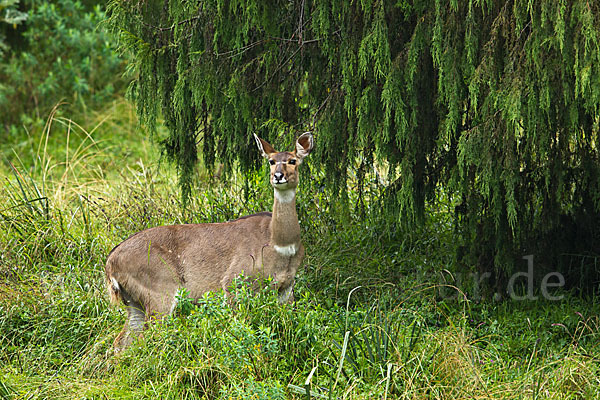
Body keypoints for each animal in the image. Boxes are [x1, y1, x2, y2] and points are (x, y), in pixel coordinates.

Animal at [103, 133, 314, 348]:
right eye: (271, 161)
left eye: (293, 160)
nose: (278, 176)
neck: (280, 245)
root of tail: (110, 263)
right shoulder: (234, 283)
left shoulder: (286, 288)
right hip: (160, 294)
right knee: (148, 339)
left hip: (134, 303)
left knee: (121, 343)